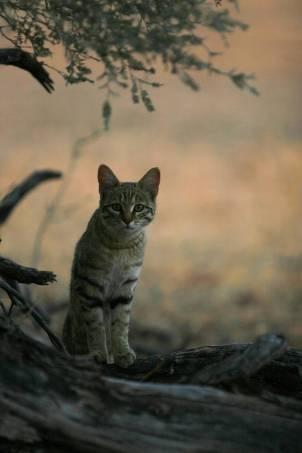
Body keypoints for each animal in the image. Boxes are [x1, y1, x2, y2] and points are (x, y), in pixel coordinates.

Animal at [62, 164, 160, 366]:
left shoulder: (125, 288)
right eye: (116, 207)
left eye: (139, 207)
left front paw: (122, 352)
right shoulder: (90, 286)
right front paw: (98, 352)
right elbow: (95, 324)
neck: (121, 246)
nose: (127, 220)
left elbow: (121, 324)